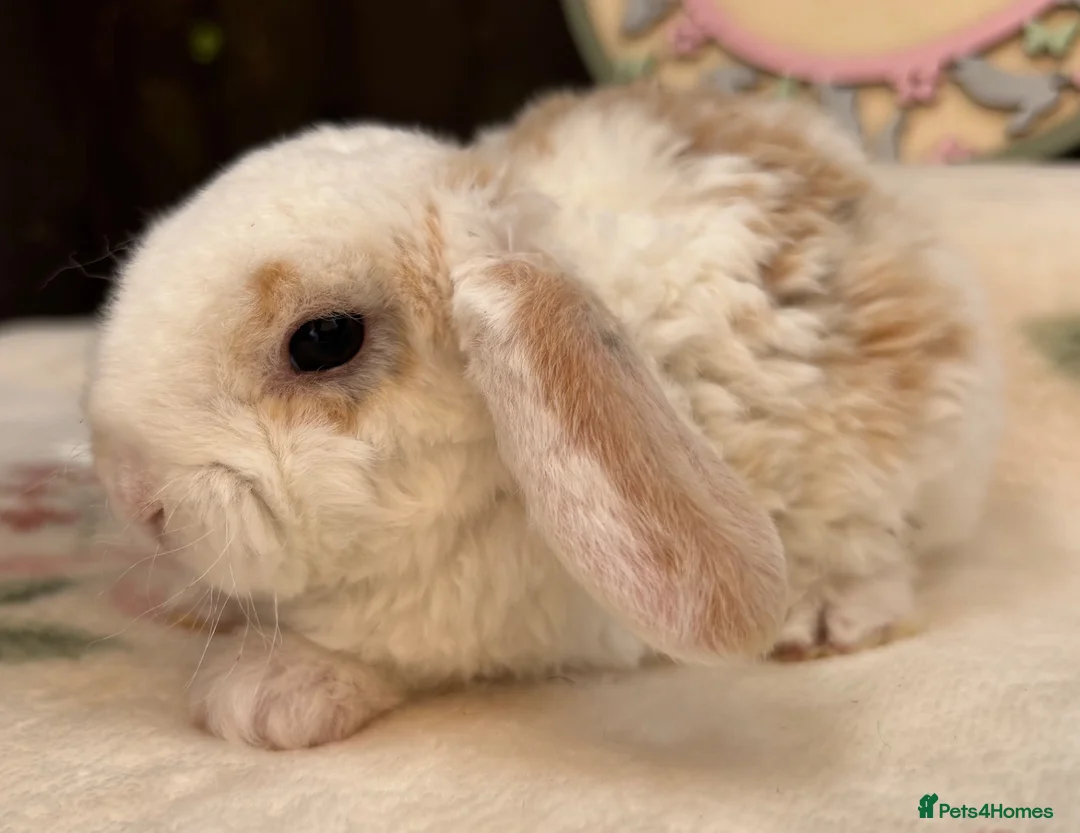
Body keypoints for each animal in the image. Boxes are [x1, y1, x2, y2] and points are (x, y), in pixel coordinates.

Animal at [84, 82, 999, 750]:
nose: (133, 495)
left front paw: (266, 690)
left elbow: (388, 643)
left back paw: (826, 611)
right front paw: (178, 601)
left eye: (323, 339)